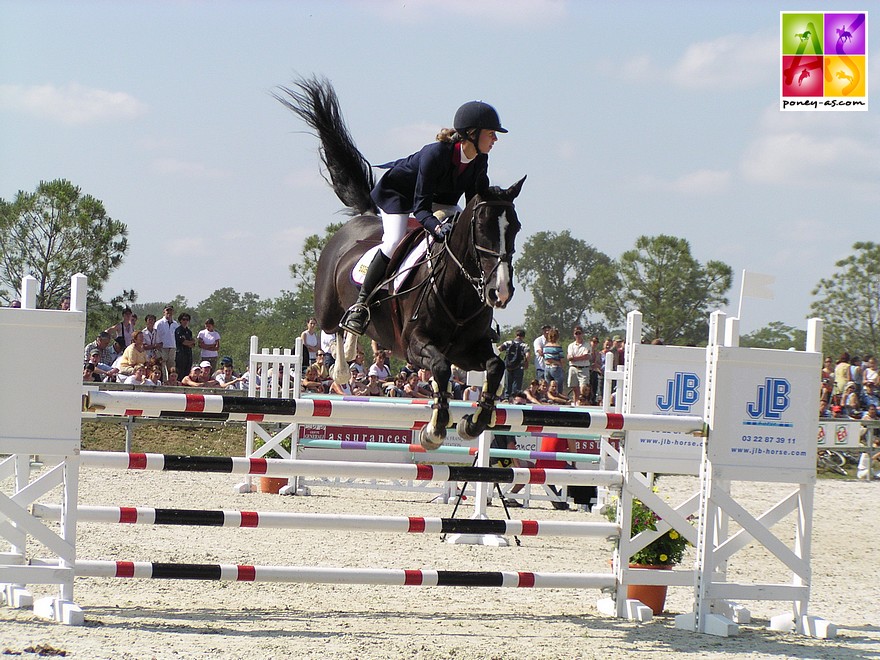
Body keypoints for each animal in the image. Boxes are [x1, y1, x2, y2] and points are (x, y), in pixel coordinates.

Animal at [276, 77, 524, 448]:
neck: (458, 290)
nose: (501, 292)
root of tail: (362, 218)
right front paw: (435, 430)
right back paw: (343, 365)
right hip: (327, 305)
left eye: (516, 228)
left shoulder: (471, 349)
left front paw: (474, 422)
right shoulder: (413, 345)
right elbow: (440, 369)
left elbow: (495, 368)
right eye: (481, 227)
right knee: (333, 326)